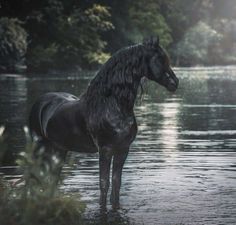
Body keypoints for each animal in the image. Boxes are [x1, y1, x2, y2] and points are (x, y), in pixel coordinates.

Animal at [28, 36, 178, 207]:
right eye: (160, 59)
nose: (175, 82)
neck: (111, 105)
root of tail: (41, 101)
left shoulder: (123, 149)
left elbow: (116, 183)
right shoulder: (105, 150)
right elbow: (104, 184)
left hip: (59, 150)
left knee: (52, 179)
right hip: (39, 149)